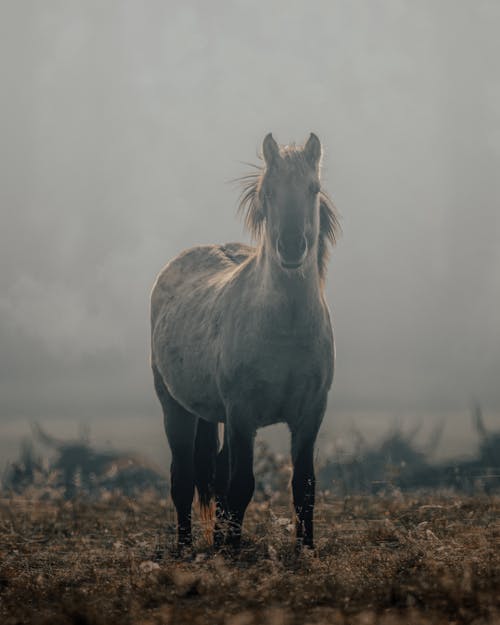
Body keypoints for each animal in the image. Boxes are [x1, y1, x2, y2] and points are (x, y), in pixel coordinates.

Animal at [150, 133, 342, 552]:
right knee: (182, 478)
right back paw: (187, 547)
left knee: (216, 473)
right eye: (269, 191)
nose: (291, 246)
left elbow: (304, 486)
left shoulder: (310, 414)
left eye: (313, 188)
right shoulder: (241, 413)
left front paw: (306, 549)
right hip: (175, 407)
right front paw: (233, 552)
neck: (285, 330)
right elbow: (241, 485)